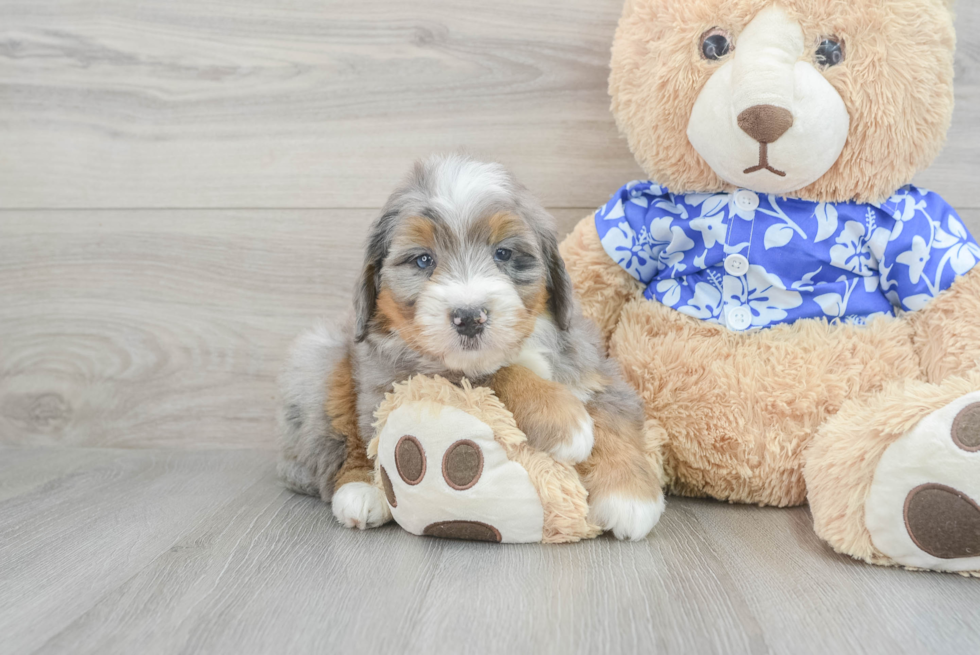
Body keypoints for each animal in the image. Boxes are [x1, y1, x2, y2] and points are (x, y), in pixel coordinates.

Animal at [280, 155, 668, 544]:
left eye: (504, 253)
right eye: (423, 260)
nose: (469, 317)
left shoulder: (592, 366)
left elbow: (614, 416)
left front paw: (630, 497)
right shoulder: (408, 372)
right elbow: (494, 376)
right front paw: (562, 419)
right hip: (322, 358)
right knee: (340, 440)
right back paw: (362, 492)